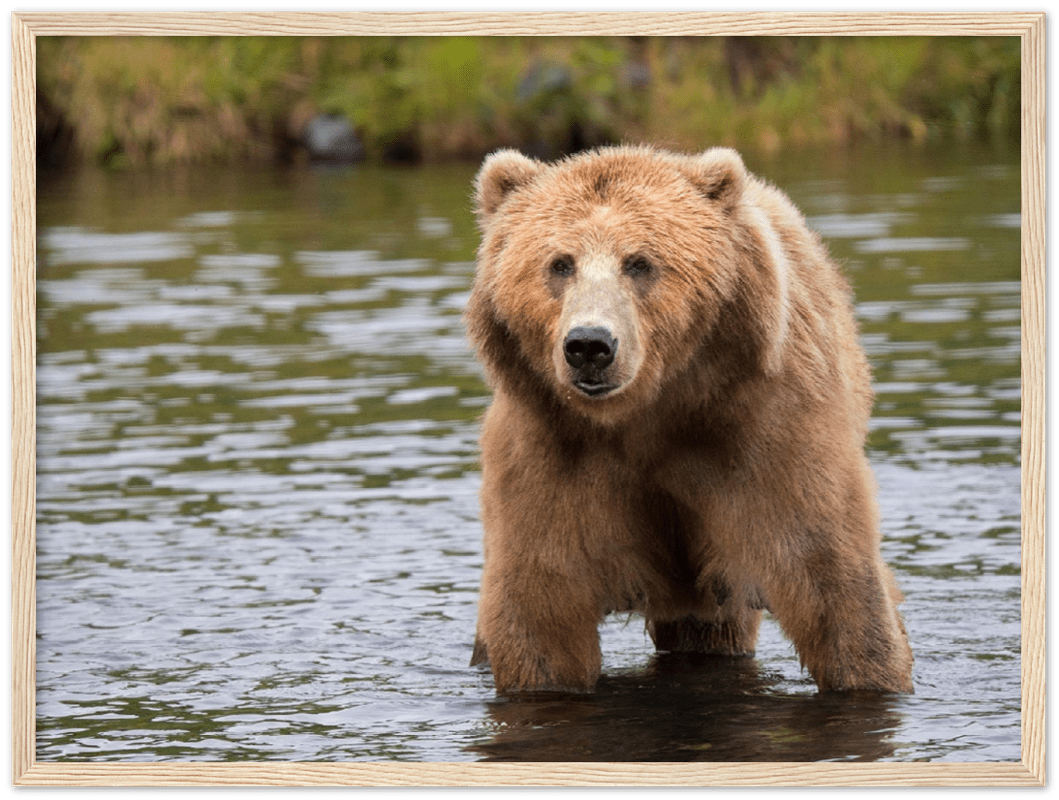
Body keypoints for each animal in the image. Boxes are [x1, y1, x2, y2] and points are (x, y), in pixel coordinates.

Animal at [463, 144, 913, 694]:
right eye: (560, 264)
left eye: (639, 262)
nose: (589, 345)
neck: (651, 412)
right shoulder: (551, 452)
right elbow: (541, 606)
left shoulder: (767, 433)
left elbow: (831, 577)